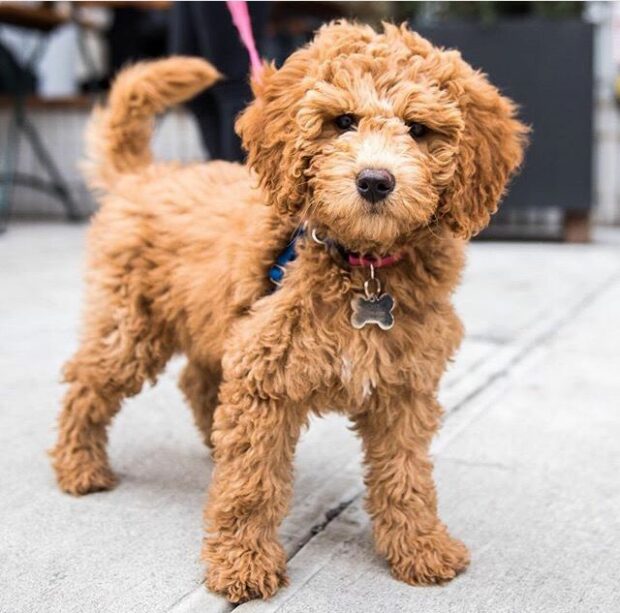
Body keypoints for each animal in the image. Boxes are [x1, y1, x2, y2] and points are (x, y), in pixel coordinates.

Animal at [52, 20, 528, 604]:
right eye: (342, 121)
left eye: (418, 129)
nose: (375, 181)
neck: (362, 266)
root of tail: (145, 175)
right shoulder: (264, 378)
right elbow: (252, 481)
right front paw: (242, 564)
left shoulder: (404, 387)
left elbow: (406, 475)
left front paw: (420, 547)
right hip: (131, 327)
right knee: (87, 381)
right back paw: (79, 466)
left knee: (196, 379)